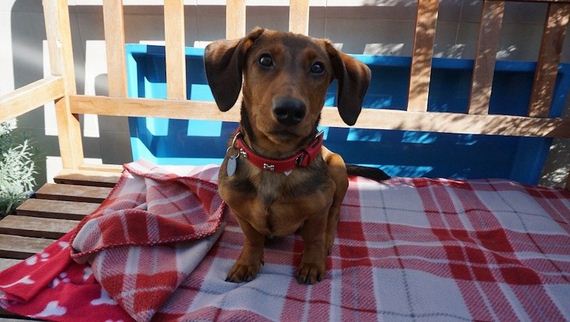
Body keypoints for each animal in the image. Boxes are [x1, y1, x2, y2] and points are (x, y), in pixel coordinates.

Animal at [203, 27, 386, 284]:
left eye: (318, 67)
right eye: (265, 60)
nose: (290, 111)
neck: (274, 163)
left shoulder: (319, 208)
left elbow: (314, 237)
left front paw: (312, 263)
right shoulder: (239, 210)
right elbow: (252, 238)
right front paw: (247, 262)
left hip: (338, 171)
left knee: (335, 214)